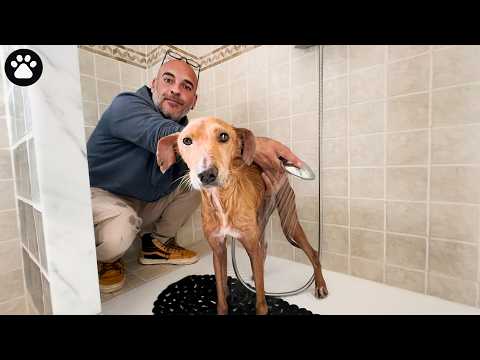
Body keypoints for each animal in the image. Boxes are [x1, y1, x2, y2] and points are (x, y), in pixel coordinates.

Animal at [156, 116, 328, 314]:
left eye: (224, 136)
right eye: (186, 140)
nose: (206, 174)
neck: (223, 201)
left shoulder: (250, 246)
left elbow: (261, 302)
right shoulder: (218, 250)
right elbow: (221, 293)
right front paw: (225, 302)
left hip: (288, 222)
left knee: (312, 252)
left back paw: (320, 285)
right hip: (260, 221)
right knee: (264, 249)